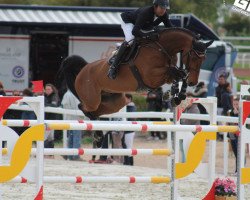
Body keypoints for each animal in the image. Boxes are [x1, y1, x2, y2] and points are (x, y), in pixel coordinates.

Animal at [58, 27, 213, 119]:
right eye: (193, 56)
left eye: (204, 58)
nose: (194, 82)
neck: (162, 48)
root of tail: (83, 70)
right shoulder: (151, 77)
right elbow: (176, 72)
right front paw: (174, 95)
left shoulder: (166, 75)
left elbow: (179, 74)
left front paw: (176, 96)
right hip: (92, 98)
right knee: (83, 107)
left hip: (116, 100)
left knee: (100, 109)